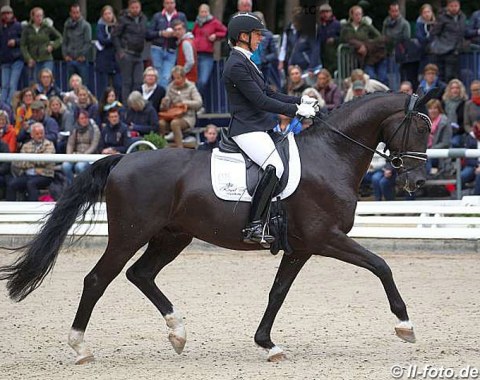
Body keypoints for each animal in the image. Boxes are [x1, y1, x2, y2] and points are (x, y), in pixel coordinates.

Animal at [0, 90, 436, 364]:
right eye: (419, 128)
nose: (415, 182)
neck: (332, 156)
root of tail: (123, 158)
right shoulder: (326, 238)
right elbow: (381, 265)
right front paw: (406, 325)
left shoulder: (300, 248)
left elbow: (277, 293)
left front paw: (267, 345)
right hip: (130, 234)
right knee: (97, 280)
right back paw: (80, 348)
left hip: (172, 236)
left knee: (140, 274)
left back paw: (177, 333)